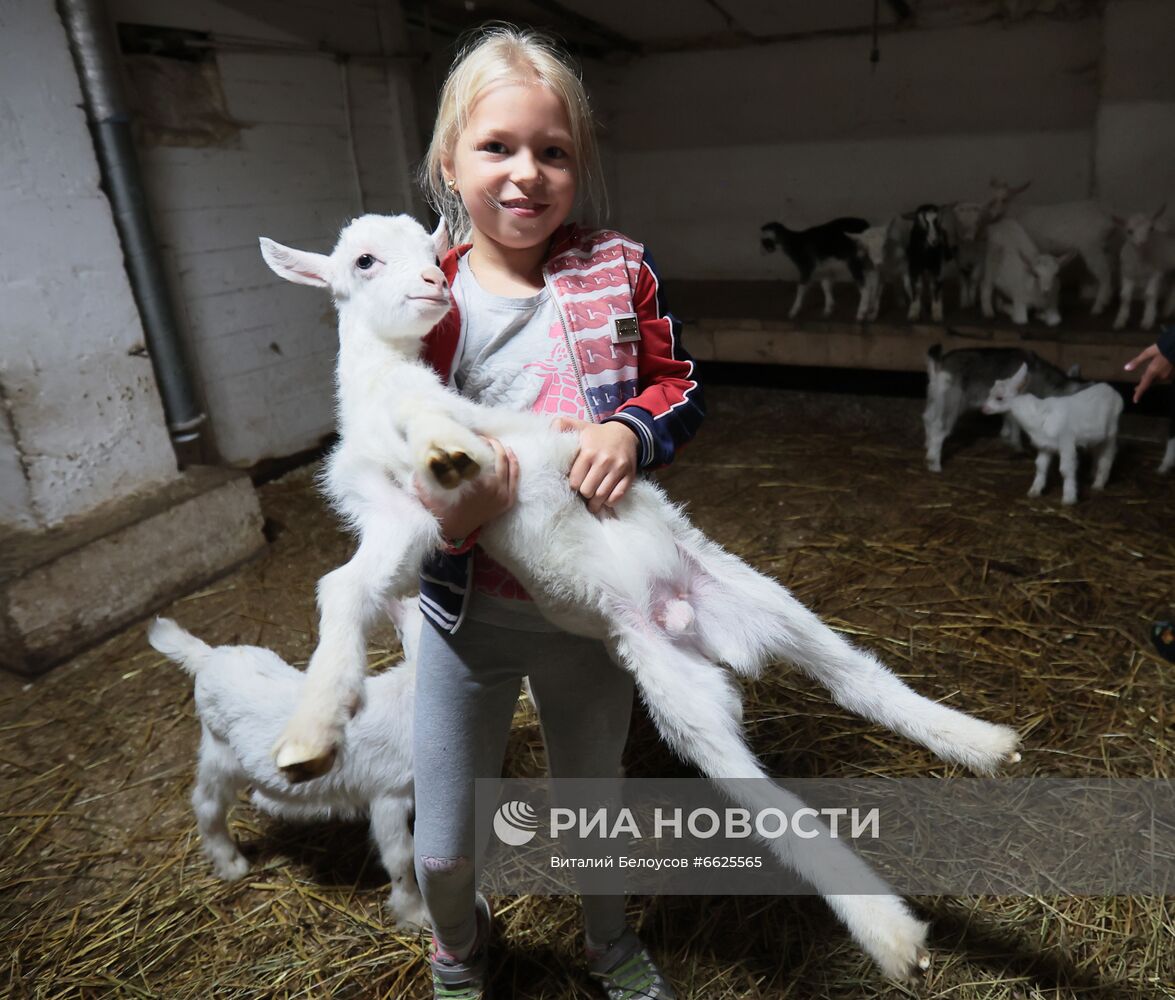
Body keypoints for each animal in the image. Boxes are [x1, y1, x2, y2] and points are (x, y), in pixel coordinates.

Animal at [142, 599, 427, 925]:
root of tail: (208, 658)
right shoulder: (387, 795)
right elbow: (401, 856)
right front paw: (414, 914)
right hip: (219, 750)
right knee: (206, 802)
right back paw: (230, 863)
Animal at [257, 215, 1019, 982]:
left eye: (431, 251)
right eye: (364, 260)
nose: (431, 284)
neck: (378, 394)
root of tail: (686, 617)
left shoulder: (449, 453)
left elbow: (435, 443)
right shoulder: (403, 518)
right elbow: (344, 584)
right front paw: (312, 733)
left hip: (755, 599)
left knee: (843, 694)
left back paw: (914, 892)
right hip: (683, 687)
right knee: (793, 747)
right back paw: (972, 773)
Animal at [982, 366, 1118, 507]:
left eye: (999, 398)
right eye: (990, 392)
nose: (983, 409)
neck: (1037, 415)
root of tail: (1111, 390)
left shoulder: (1066, 442)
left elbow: (1065, 469)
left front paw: (1069, 498)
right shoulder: (1045, 445)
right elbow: (1040, 466)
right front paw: (1034, 491)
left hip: (1111, 432)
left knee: (1107, 457)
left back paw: (1098, 484)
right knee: (1097, 453)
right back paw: (1093, 475)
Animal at [986, 178, 1113, 312]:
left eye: (1005, 199)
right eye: (992, 199)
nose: (992, 215)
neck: (1017, 212)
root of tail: (1108, 219)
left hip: (1092, 247)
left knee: (1104, 273)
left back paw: (1098, 307)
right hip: (1103, 247)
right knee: (1109, 268)